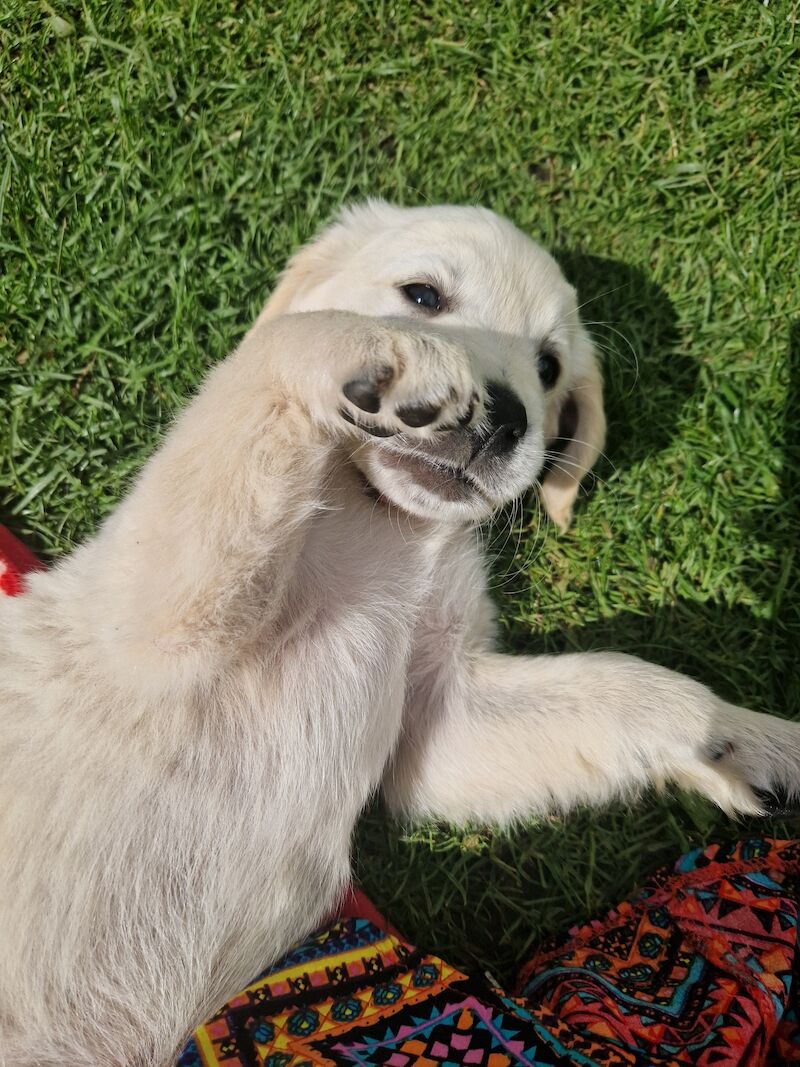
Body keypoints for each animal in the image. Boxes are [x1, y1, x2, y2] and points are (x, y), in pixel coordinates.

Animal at [1, 198, 800, 1058]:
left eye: (549, 365)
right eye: (423, 296)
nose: (504, 418)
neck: (386, 519)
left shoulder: (440, 711)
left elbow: (626, 686)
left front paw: (750, 739)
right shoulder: (158, 621)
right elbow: (284, 340)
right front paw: (396, 357)